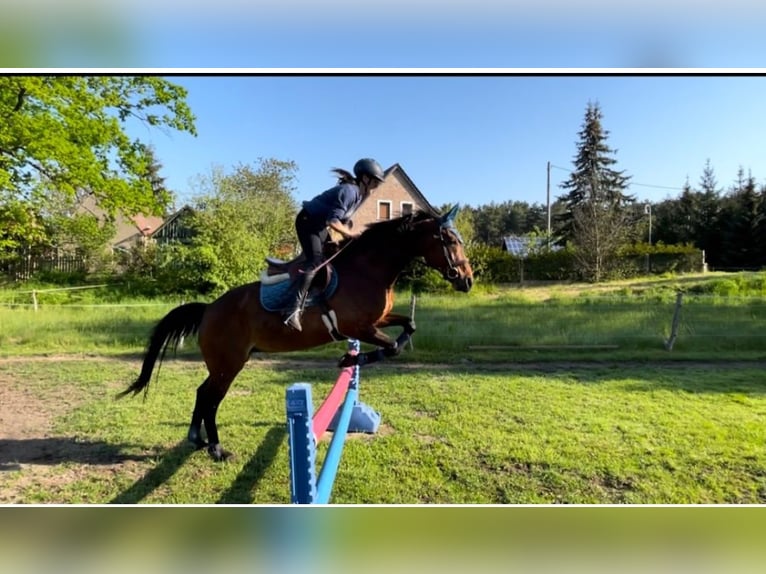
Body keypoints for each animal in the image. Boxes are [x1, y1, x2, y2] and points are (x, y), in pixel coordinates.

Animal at [118, 205, 474, 462]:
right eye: (451, 241)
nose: (467, 280)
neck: (368, 270)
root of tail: (208, 309)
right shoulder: (358, 327)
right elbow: (392, 347)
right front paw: (349, 359)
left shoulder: (379, 320)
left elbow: (408, 327)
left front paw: (353, 359)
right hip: (229, 364)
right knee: (211, 398)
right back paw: (216, 449)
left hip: (224, 363)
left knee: (202, 392)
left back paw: (197, 439)